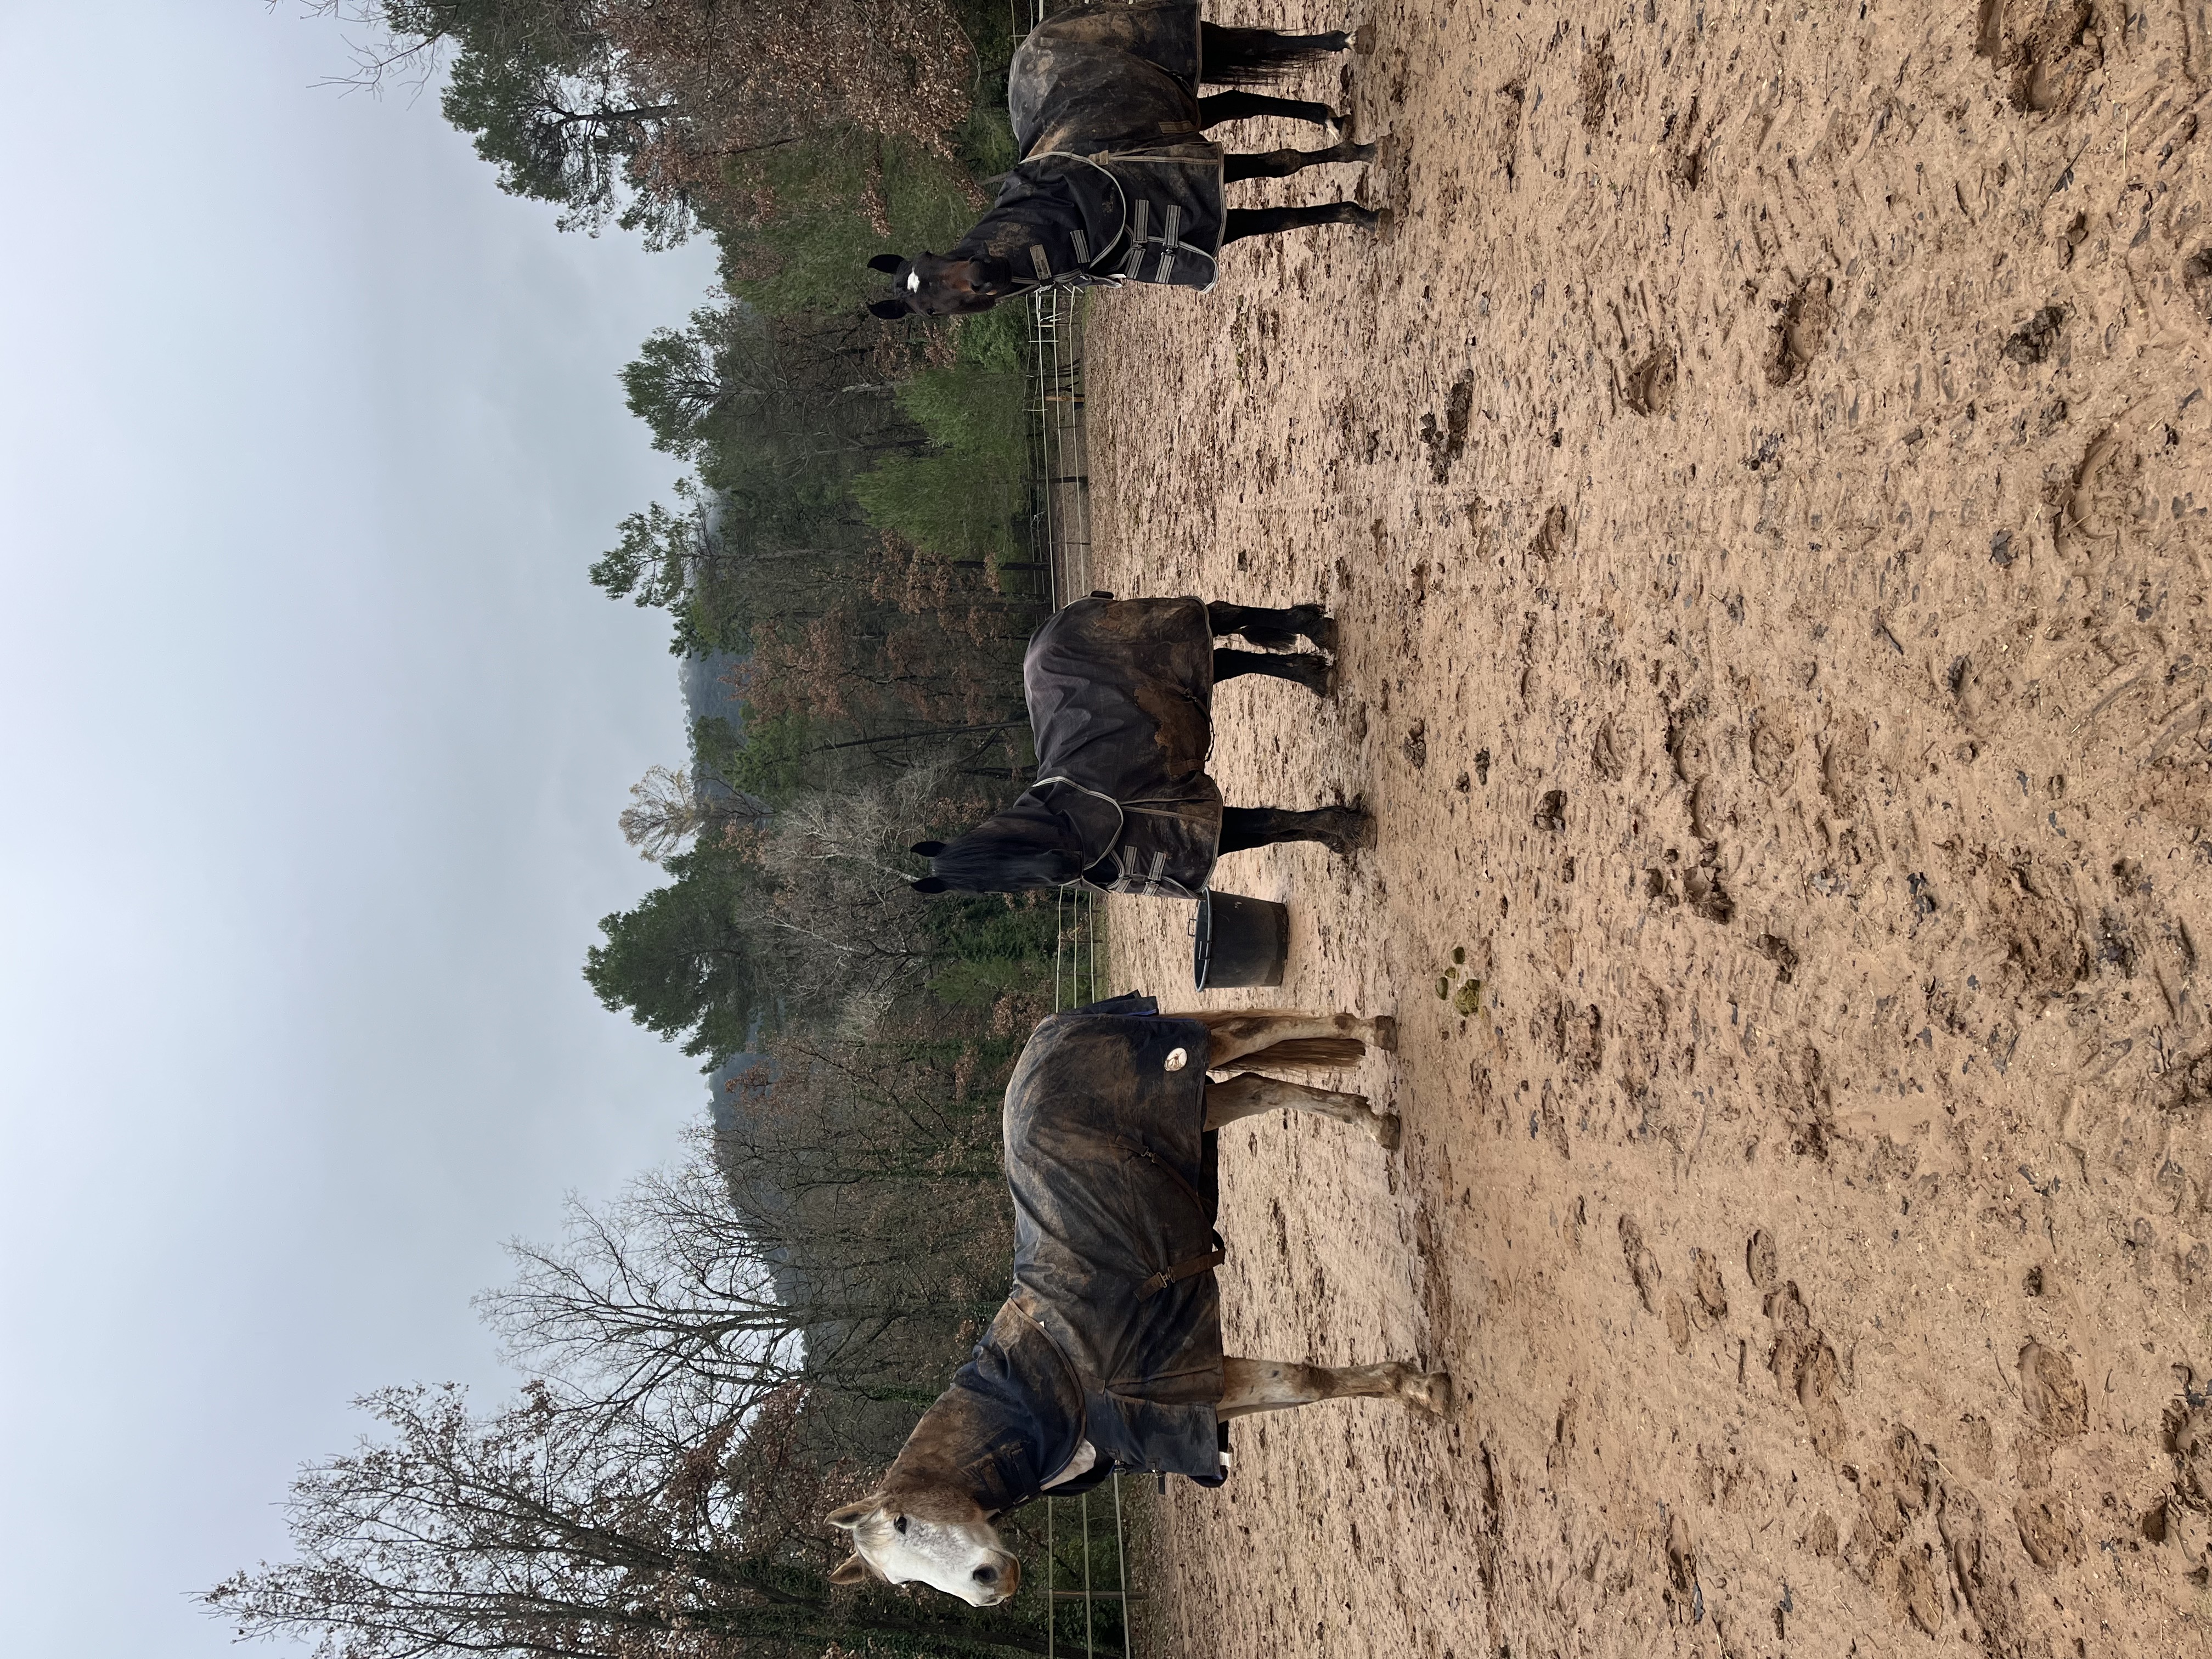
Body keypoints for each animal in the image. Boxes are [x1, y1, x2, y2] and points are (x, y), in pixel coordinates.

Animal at [824, 996, 1450, 1604]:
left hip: (1200, 1052)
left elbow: (1307, 1381)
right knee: (1259, 1086)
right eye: (903, 1582)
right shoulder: (1193, 1399)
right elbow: (1303, 1387)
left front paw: (1423, 1388)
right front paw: (1410, 1386)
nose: (989, 1584)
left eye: (904, 1522)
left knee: (1267, 1030)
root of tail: (1053, 1026)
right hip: (1200, 1107)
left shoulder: (1184, 1374)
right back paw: (1376, 1122)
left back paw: (1378, 1042)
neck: (1058, 1384)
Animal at [865, 0, 1379, 320]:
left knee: (1261, 46)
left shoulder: (1189, 165)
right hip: (1186, 105)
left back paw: (1349, 44)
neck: (1069, 212)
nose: (981, 274)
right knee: (1242, 98)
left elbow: (1281, 163)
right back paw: (1331, 116)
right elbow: (1279, 210)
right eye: (931, 310)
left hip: (1196, 45)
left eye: (935, 255)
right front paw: (1358, 199)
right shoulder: (1198, 219)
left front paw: (1363, 181)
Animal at [906, 594, 1368, 901]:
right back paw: (1311, 670)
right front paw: (1337, 834)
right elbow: (1272, 828)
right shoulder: (1194, 833)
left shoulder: (1186, 812)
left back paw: (1314, 633)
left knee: (1224, 614)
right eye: (987, 888)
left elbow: (1271, 821)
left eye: (1013, 845)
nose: (1060, 867)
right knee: (1233, 655)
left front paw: (1345, 827)